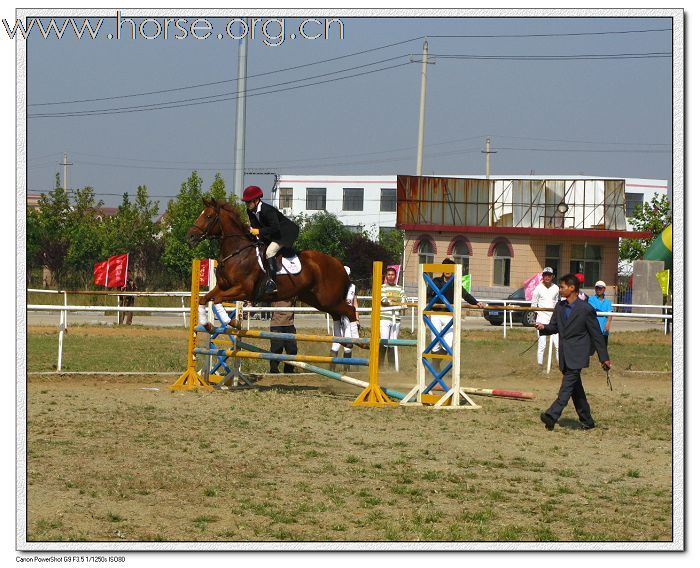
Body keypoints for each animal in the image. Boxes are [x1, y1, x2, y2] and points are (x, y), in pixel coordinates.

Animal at [186, 199, 358, 330]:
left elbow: (217, 300)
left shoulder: (243, 290)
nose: (190, 237)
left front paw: (233, 322)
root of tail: (339, 264)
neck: (237, 253)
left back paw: (356, 344)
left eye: (209, 216)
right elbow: (205, 299)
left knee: (350, 311)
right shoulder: (222, 287)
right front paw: (207, 325)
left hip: (329, 298)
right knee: (337, 315)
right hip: (317, 299)